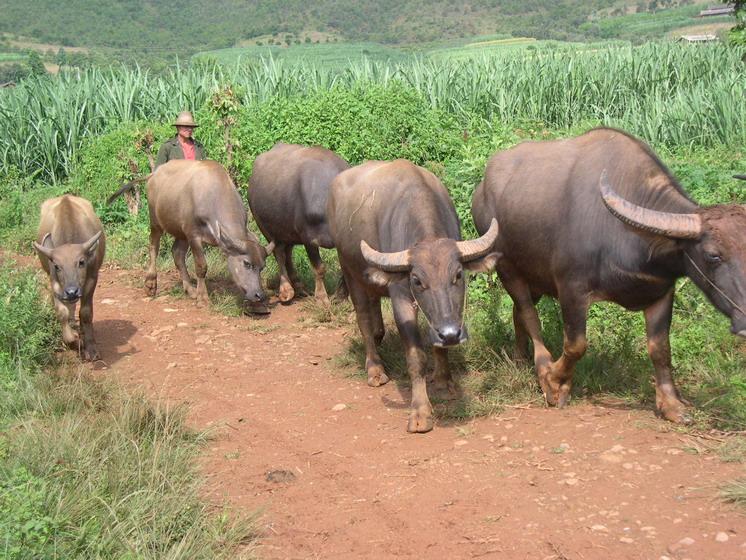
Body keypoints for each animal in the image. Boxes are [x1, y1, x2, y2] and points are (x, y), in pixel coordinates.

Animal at [33, 195, 104, 360]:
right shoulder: (55, 282)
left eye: (81, 262)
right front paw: (73, 341)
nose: (72, 291)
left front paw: (91, 349)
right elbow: (62, 312)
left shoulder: (92, 279)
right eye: (57, 266)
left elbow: (85, 313)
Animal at [246, 142, 348, 304]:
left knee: (287, 254)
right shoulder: (309, 238)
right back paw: (286, 290)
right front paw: (321, 298)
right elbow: (319, 268)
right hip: (265, 228)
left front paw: (340, 295)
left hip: (288, 231)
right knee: (279, 254)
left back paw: (299, 287)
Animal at [326, 160, 496, 430]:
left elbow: (438, 345)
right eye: (417, 280)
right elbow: (416, 356)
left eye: (458, 275)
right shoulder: (401, 299)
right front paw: (420, 412)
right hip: (349, 271)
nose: (451, 333)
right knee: (363, 318)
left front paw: (444, 382)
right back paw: (375, 369)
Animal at [470, 128, 744, 424]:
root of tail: (481, 189)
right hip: (508, 270)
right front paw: (556, 382)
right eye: (713, 255)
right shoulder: (571, 288)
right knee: (529, 315)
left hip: (535, 278)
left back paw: (520, 359)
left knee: (518, 313)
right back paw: (541, 368)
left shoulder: (661, 292)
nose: (744, 322)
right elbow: (576, 344)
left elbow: (661, 349)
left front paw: (671, 404)